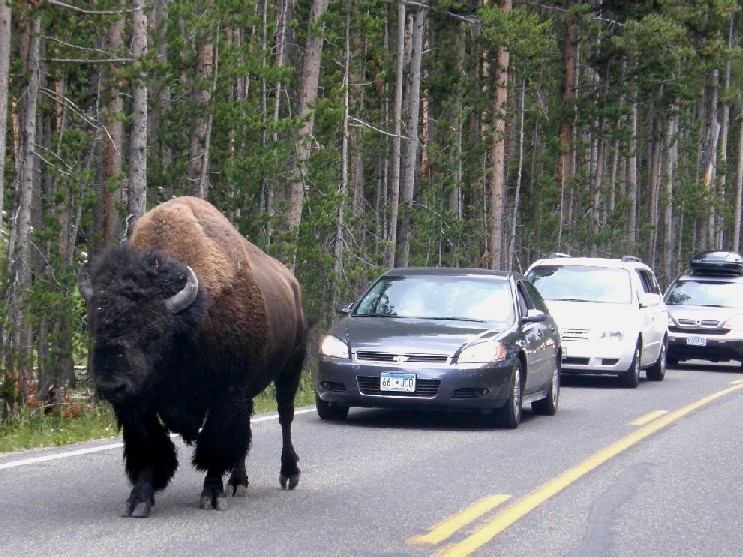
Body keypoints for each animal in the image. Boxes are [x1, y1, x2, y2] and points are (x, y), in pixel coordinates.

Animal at [78, 197, 306, 516]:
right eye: (96, 326)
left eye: (154, 331)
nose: (112, 386)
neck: (188, 322)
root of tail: (292, 284)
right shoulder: (140, 404)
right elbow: (148, 446)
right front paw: (139, 500)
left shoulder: (225, 395)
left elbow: (215, 443)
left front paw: (212, 495)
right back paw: (238, 483)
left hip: (291, 367)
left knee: (285, 417)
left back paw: (288, 474)